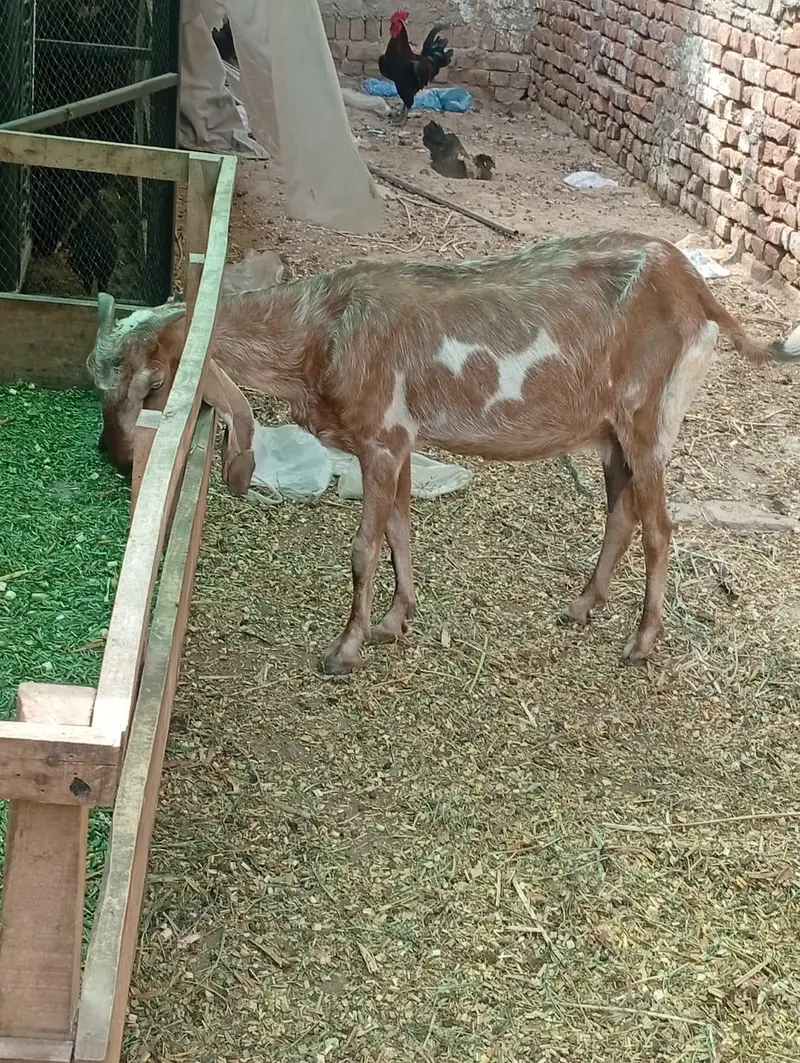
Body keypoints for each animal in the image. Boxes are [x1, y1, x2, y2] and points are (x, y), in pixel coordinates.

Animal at [87, 231, 800, 675]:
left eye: (144, 380)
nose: (113, 457)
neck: (320, 330)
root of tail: (694, 286)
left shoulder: (381, 436)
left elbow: (363, 547)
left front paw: (345, 649)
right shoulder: (401, 441)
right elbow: (400, 529)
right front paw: (394, 621)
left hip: (648, 415)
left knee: (660, 525)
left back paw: (642, 641)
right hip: (609, 432)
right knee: (621, 511)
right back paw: (581, 608)